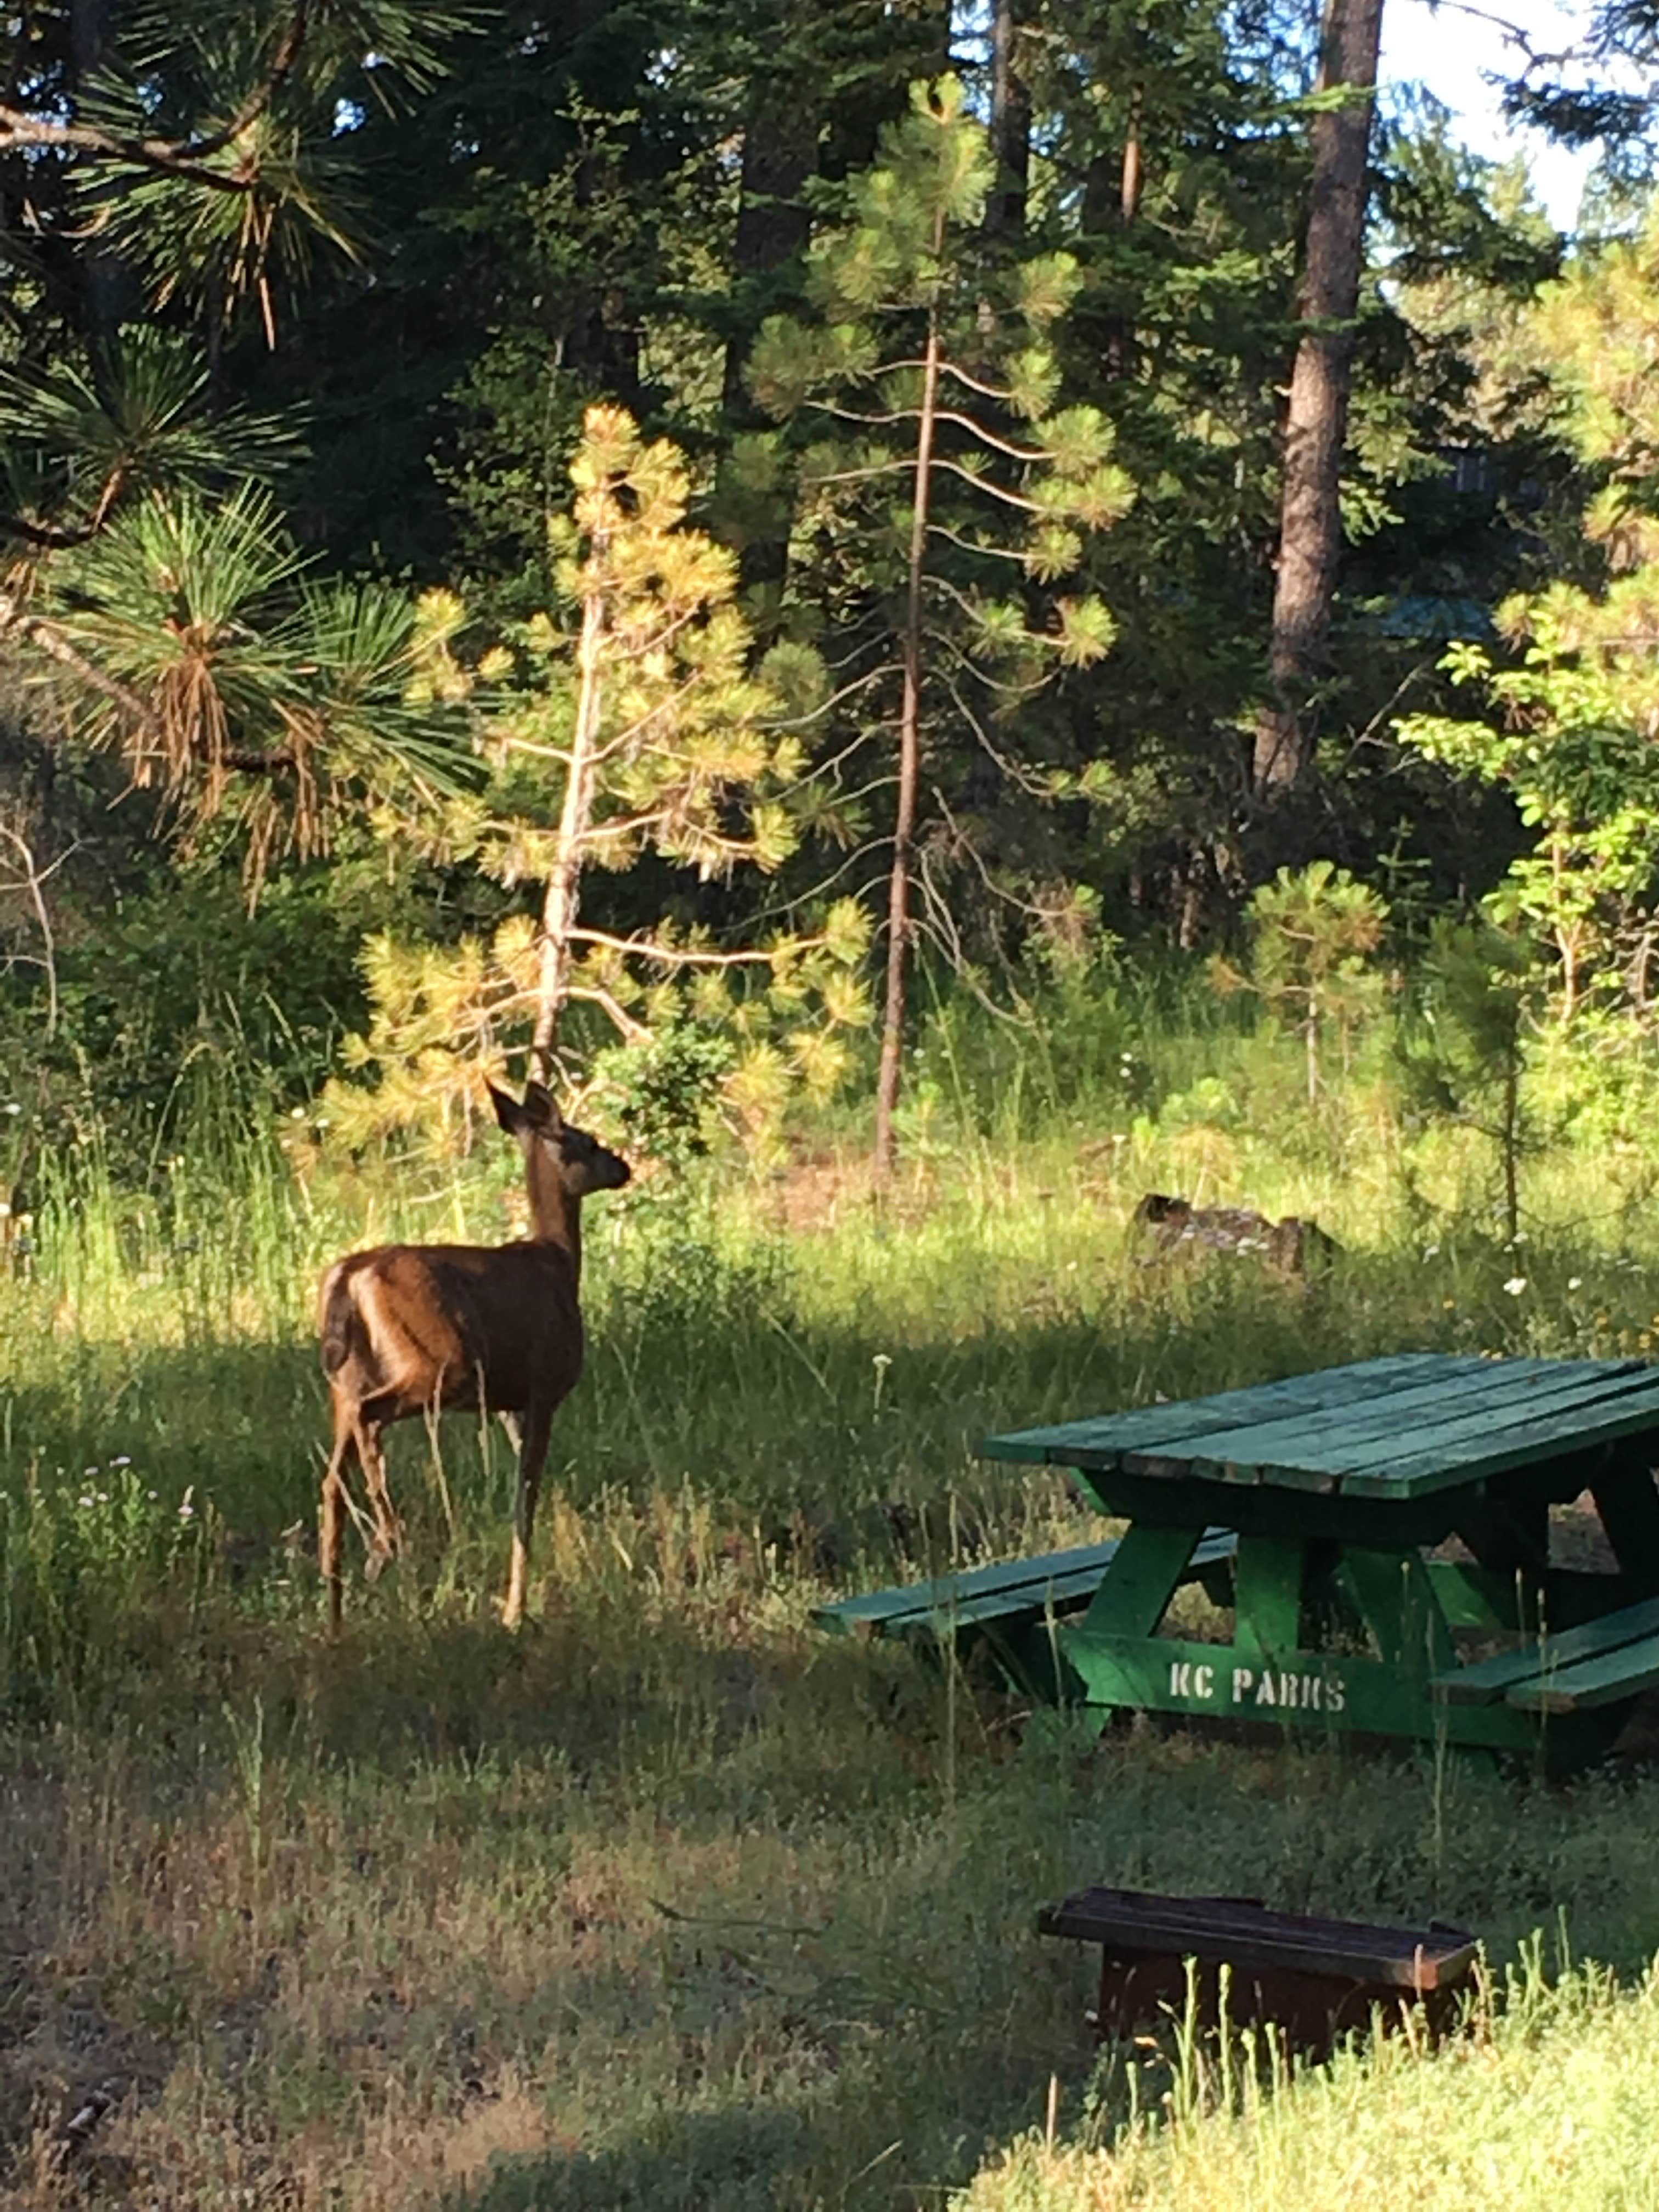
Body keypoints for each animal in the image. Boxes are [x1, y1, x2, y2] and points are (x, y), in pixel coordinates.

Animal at [316, 1079, 628, 1637]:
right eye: (589, 1143)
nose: (623, 1167)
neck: (559, 1262)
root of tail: (351, 1276)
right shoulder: (542, 1388)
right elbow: (526, 1498)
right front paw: (514, 1614)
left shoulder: (506, 1404)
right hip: (441, 1363)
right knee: (371, 1422)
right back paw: (385, 1544)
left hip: (346, 1381)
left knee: (334, 1479)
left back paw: (334, 1615)